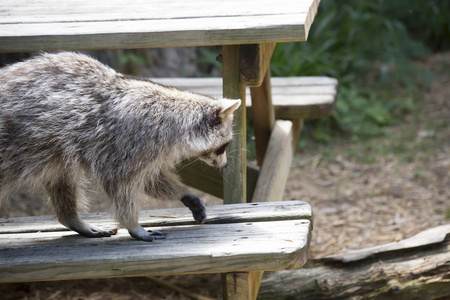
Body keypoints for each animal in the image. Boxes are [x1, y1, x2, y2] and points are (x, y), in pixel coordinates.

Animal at [0, 52, 241, 241]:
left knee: (61, 176)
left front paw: (185, 194)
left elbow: (151, 181)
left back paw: (70, 217)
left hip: (53, 148)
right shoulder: (130, 139)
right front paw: (133, 224)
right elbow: (120, 182)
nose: (225, 165)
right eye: (224, 145)